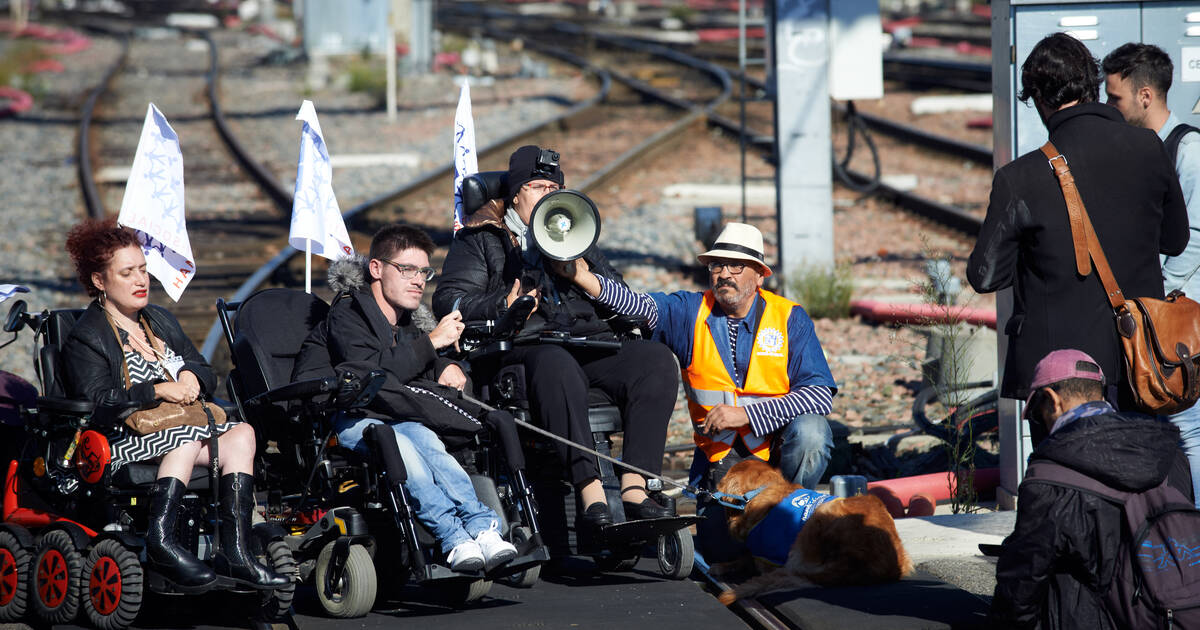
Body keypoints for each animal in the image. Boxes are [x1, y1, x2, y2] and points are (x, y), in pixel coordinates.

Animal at [710, 458, 907, 602]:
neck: (760, 492)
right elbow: (744, 558)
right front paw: (722, 566)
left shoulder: (770, 556)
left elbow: (752, 560)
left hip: (823, 513)